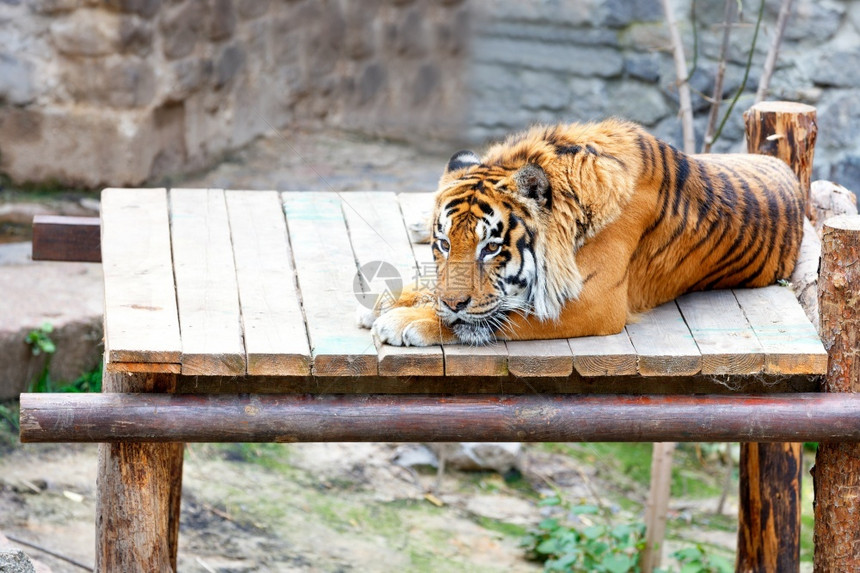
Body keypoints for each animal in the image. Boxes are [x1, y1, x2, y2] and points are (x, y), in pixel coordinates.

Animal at [360, 118, 804, 346]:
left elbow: (495, 317)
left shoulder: (593, 302)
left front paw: (404, 320)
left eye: (491, 248)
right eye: (445, 244)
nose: (453, 303)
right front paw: (391, 301)